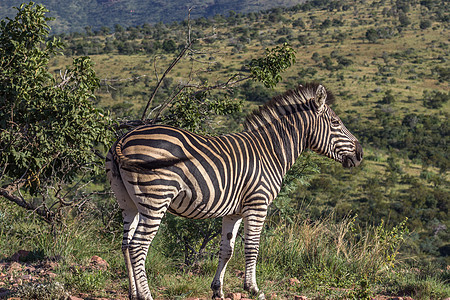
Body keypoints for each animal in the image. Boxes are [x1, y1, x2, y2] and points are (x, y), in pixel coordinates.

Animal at [105, 82, 362, 300]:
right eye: (336, 123)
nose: (360, 154)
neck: (271, 151)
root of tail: (125, 138)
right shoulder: (257, 204)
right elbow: (252, 247)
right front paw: (253, 289)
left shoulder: (234, 211)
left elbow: (226, 250)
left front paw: (217, 290)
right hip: (156, 198)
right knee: (138, 245)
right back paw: (146, 295)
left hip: (128, 202)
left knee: (126, 244)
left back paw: (133, 293)